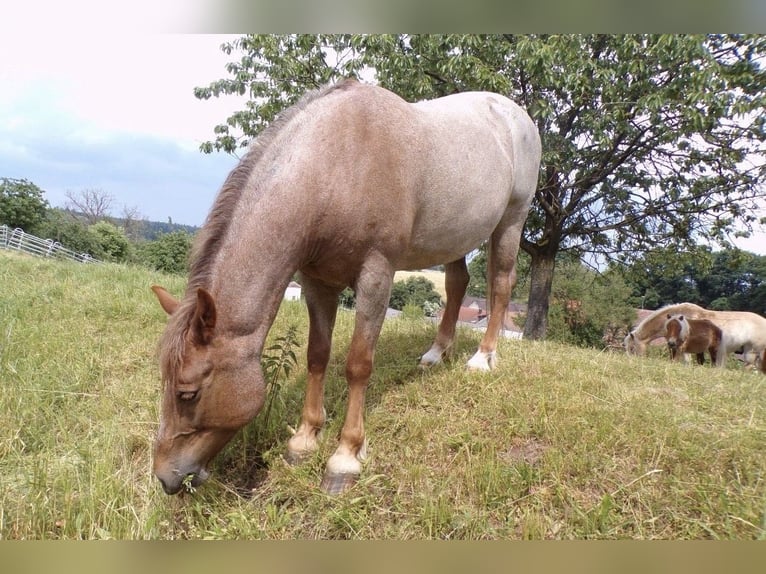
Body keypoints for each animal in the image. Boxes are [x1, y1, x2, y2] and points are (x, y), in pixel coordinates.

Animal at [150, 79, 542, 496]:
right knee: (457, 285)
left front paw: (345, 457)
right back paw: (436, 353)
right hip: (455, 237)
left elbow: (358, 364)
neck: (336, 165)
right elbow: (317, 356)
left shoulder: (376, 276)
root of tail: (515, 113)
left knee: (501, 284)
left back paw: (483, 358)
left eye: (188, 393)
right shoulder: (317, 282)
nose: (165, 476)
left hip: (511, 221)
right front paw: (304, 441)